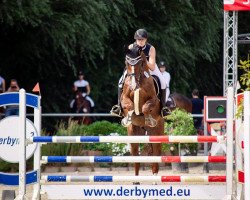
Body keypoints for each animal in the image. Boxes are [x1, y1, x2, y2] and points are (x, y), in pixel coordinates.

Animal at [120, 46, 191, 178]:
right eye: (127, 63)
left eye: (140, 63)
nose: (133, 85)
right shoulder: (124, 99)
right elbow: (129, 104)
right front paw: (129, 116)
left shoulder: (153, 100)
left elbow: (145, 107)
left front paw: (148, 118)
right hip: (134, 134)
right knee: (136, 160)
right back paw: (136, 180)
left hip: (157, 133)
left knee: (155, 160)